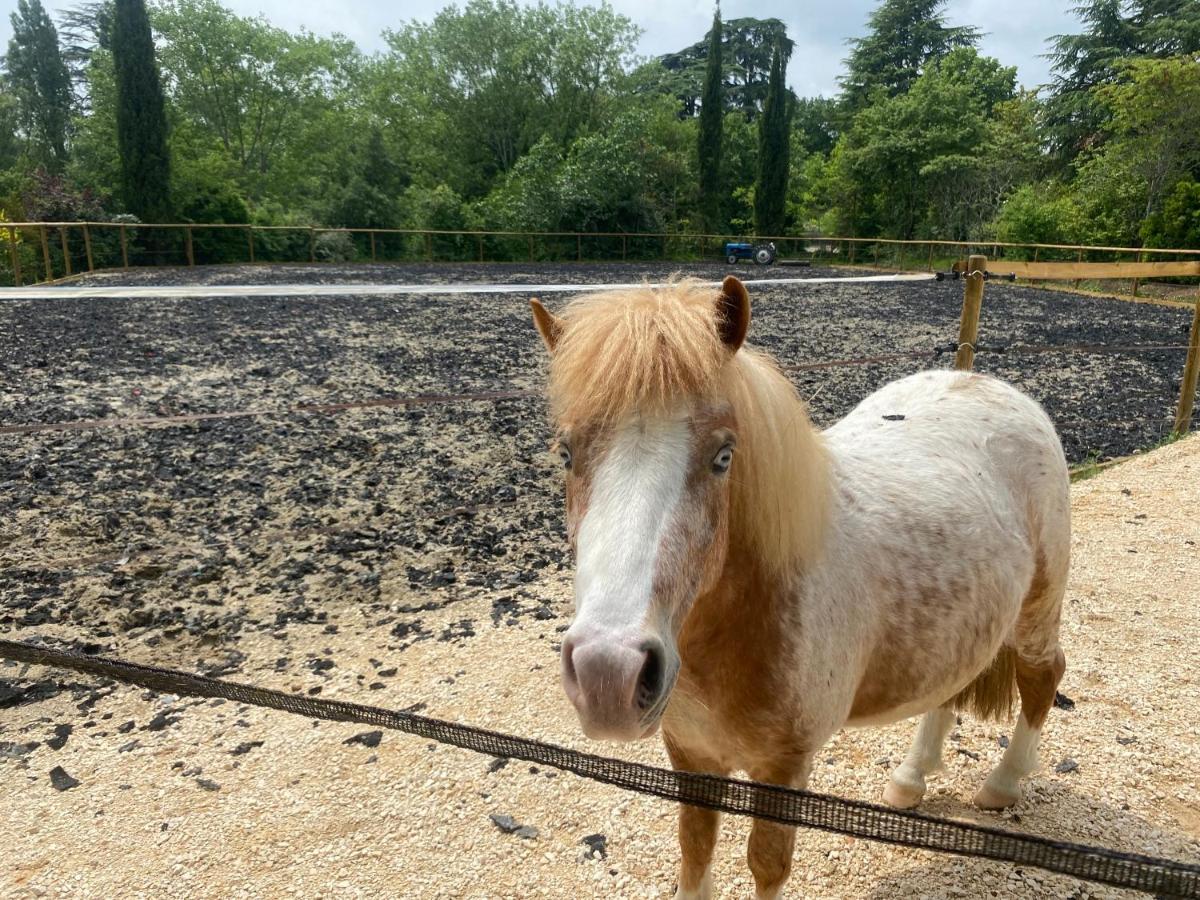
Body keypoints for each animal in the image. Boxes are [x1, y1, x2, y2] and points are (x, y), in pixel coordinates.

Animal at [528, 278, 1070, 897]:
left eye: (723, 456)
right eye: (566, 453)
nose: (607, 674)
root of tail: (995, 388)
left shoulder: (785, 766)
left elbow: (767, 864)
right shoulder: (690, 752)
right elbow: (695, 849)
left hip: (1037, 612)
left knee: (1042, 677)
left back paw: (1003, 785)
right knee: (951, 686)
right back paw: (910, 780)